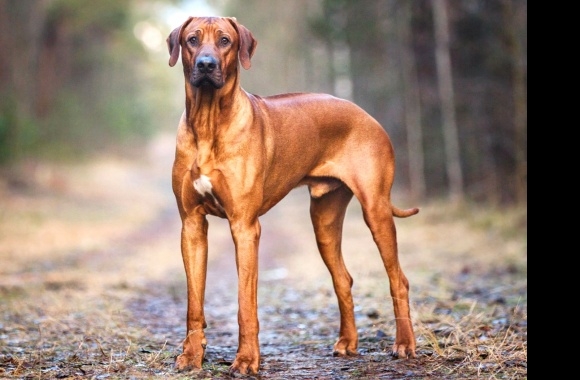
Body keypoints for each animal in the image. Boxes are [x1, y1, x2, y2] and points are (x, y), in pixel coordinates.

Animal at [165, 15, 420, 374]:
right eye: (192, 39)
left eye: (225, 41)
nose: (205, 64)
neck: (208, 121)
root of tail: (366, 114)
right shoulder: (191, 226)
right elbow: (193, 303)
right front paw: (191, 355)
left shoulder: (245, 227)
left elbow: (245, 304)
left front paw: (246, 359)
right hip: (324, 220)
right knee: (343, 278)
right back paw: (348, 343)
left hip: (376, 210)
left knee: (398, 279)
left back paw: (404, 344)